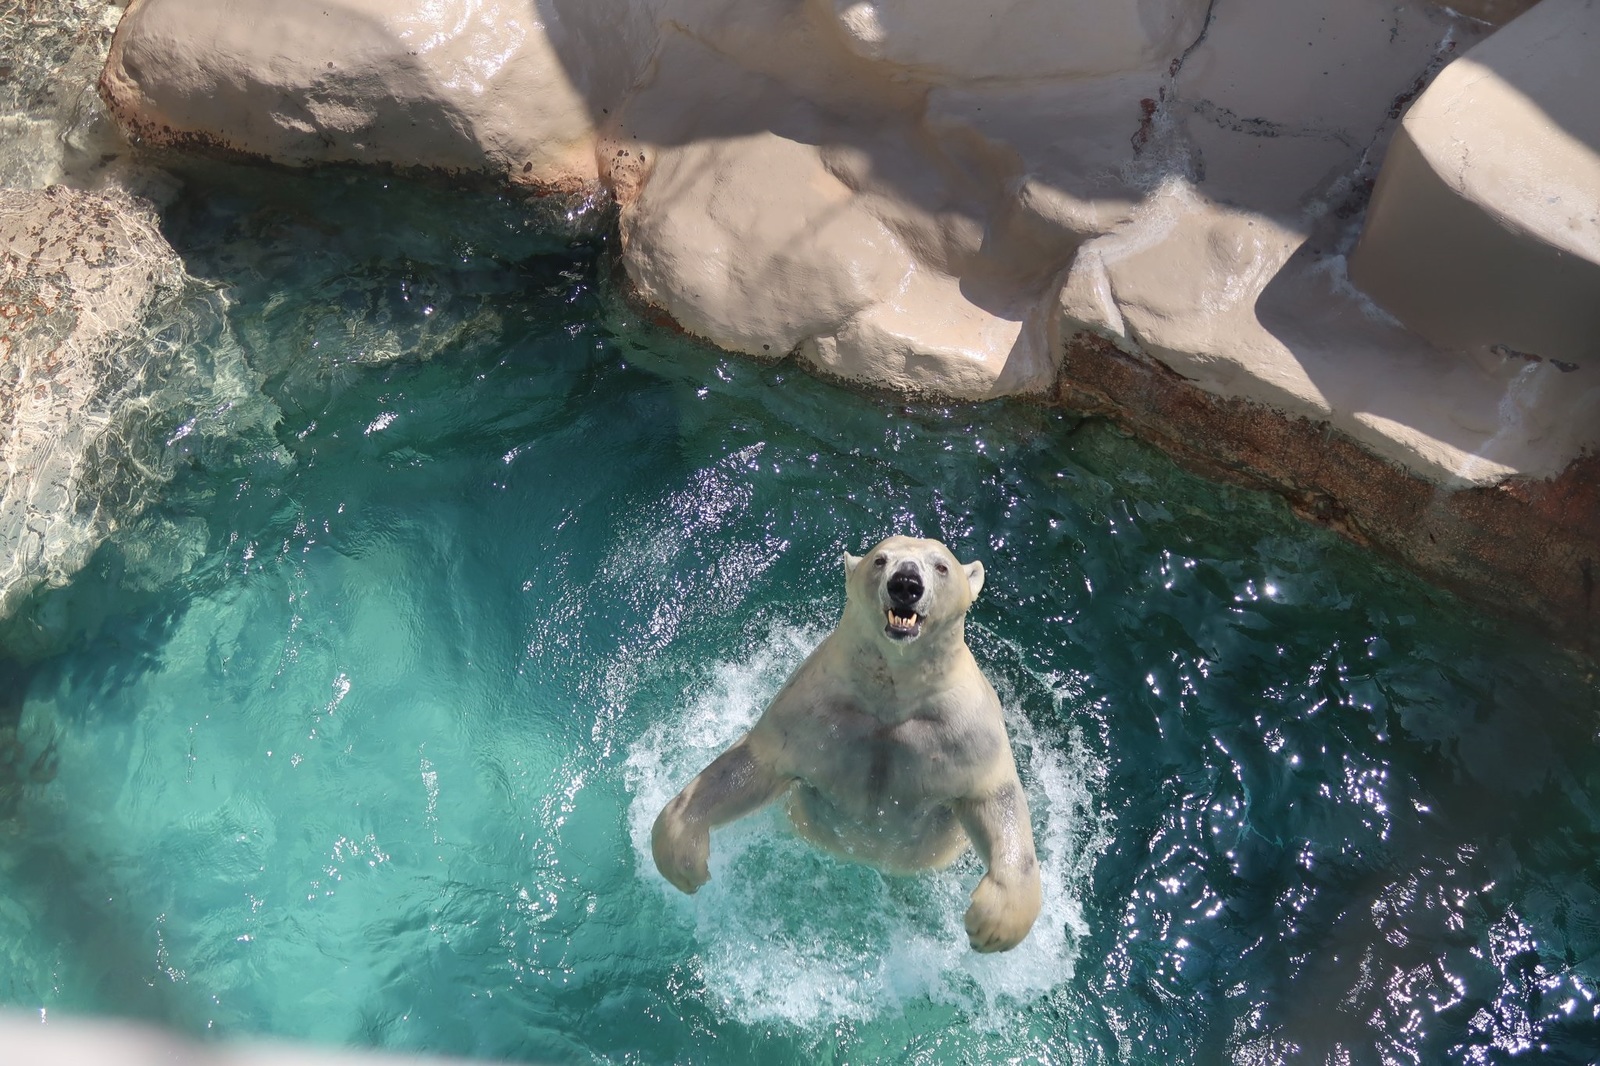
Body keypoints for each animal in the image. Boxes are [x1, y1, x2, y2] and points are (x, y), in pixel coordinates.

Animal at [652, 534, 1043, 947]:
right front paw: (684, 858)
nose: (905, 583)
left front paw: (994, 923)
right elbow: (754, 763)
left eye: (941, 566)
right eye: (881, 559)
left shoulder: (967, 729)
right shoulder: (811, 709)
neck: (892, 699)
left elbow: (994, 796)